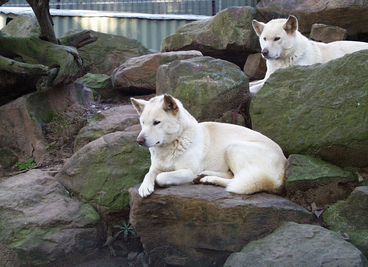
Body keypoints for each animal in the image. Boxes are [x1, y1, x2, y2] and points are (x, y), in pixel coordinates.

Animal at [129, 95, 288, 198]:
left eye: (157, 122)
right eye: (143, 122)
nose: (139, 141)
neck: (174, 142)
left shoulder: (188, 171)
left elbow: (161, 177)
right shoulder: (156, 166)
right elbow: (149, 174)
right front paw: (144, 187)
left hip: (233, 147)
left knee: (238, 179)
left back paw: (209, 179)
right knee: (233, 175)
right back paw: (205, 176)